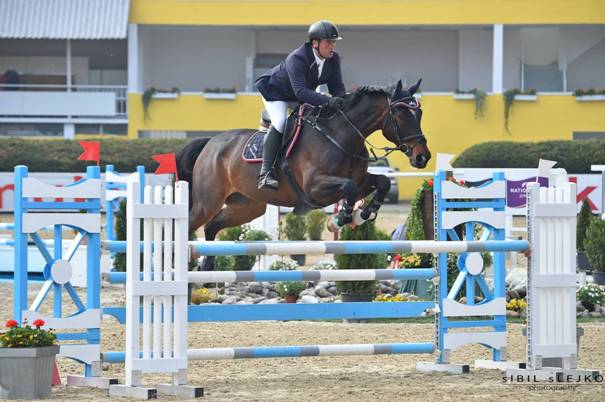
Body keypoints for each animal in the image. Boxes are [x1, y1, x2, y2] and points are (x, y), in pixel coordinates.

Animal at [177, 78, 432, 270]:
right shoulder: (315, 189)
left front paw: (364, 214)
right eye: (400, 115)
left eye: (419, 113)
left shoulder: (360, 181)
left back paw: (207, 266)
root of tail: (211, 142)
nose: (423, 157)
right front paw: (340, 219)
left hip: (247, 207)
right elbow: (348, 188)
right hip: (208, 202)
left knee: (211, 227)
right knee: (193, 224)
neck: (340, 135)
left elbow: (381, 182)